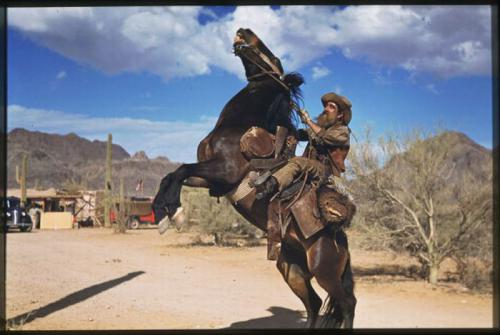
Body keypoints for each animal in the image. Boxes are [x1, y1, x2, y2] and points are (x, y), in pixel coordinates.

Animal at [152, 27, 356, 330]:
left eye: (274, 56)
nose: (244, 31)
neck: (236, 127)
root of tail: (341, 241)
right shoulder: (214, 181)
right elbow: (173, 175)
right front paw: (164, 213)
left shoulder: (224, 171)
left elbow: (181, 171)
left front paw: (173, 215)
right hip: (291, 269)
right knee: (315, 303)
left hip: (325, 273)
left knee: (347, 303)